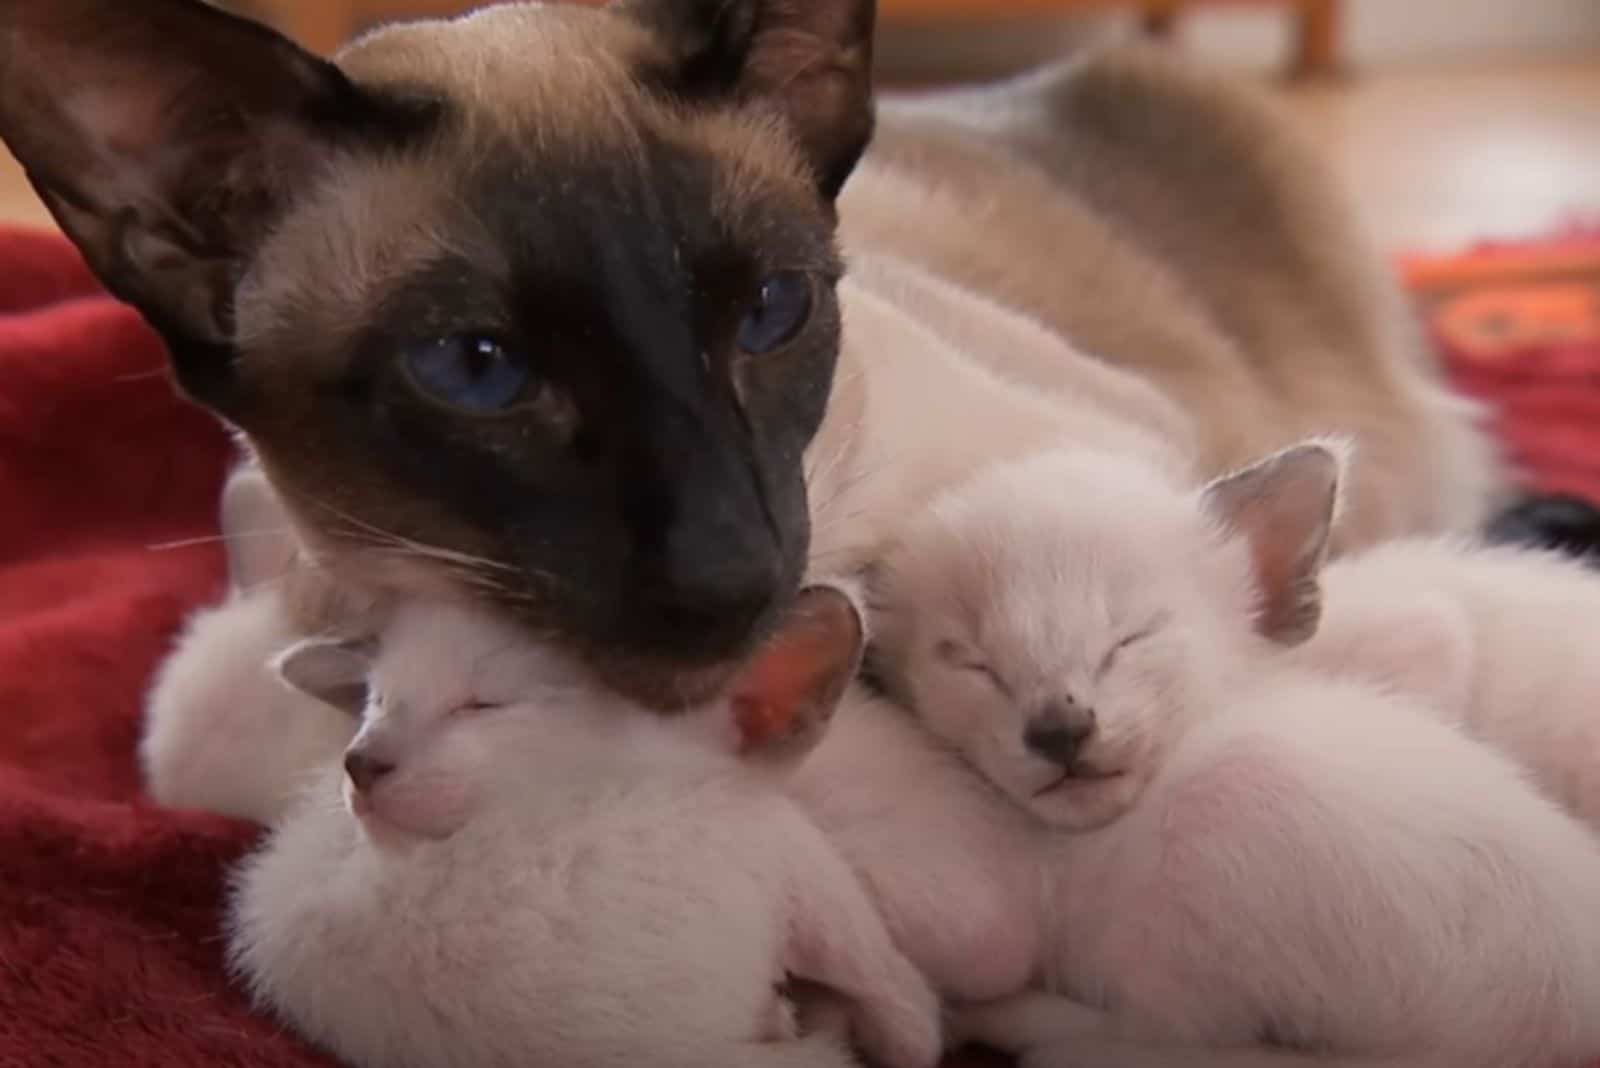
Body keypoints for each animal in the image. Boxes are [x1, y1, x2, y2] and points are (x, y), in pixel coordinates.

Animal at [232, 585, 940, 1068]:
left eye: (481, 705)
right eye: (379, 701)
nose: (360, 761)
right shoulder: (776, 848)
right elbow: (884, 981)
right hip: (775, 845)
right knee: (885, 986)